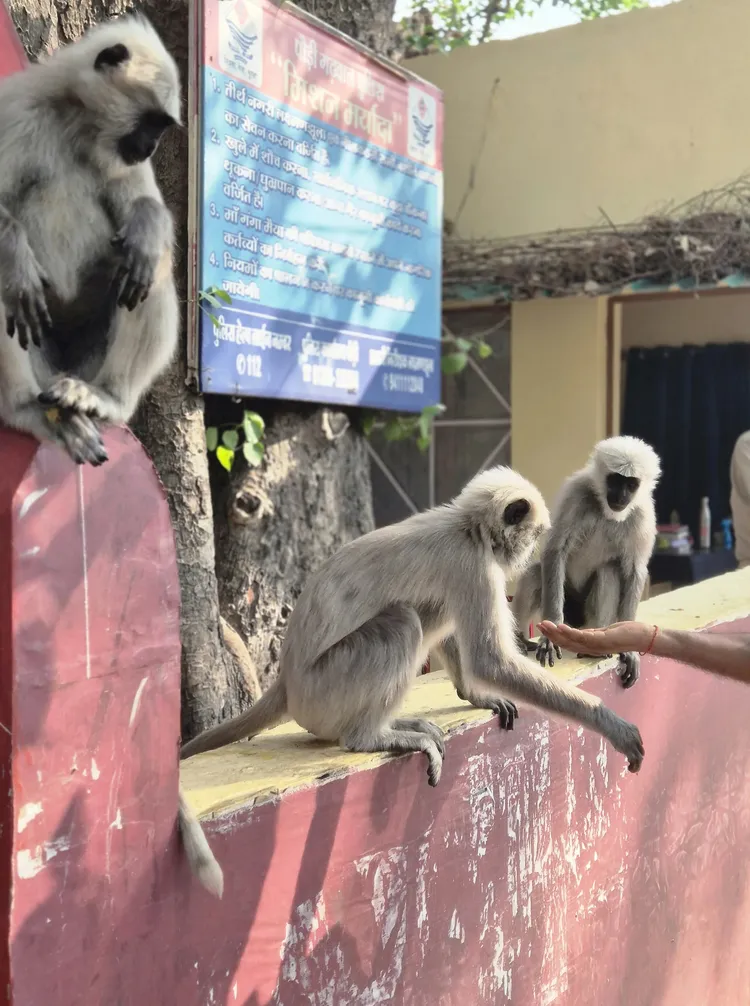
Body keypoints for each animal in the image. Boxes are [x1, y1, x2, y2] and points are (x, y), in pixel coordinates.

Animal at [0, 14, 180, 466]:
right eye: (151, 122)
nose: (151, 146)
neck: (76, 125)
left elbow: (147, 211)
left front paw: (146, 224)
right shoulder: (16, 111)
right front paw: (16, 265)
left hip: (84, 357)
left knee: (151, 267)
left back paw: (106, 398)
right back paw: (23, 408)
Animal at [180, 466, 645, 781]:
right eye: (533, 536)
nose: (528, 552)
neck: (465, 527)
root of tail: (288, 682)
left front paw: (476, 695)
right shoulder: (472, 565)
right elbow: (490, 660)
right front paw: (610, 723)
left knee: (429, 611)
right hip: (324, 690)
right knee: (403, 621)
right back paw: (369, 736)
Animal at [511, 436, 660, 689]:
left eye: (631, 484)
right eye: (615, 480)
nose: (621, 496)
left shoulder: (643, 514)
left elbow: (634, 571)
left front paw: (630, 647)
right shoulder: (577, 492)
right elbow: (555, 551)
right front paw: (550, 636)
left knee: (608, 571)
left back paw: (594, 645)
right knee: (535, 572)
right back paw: (520, 640)